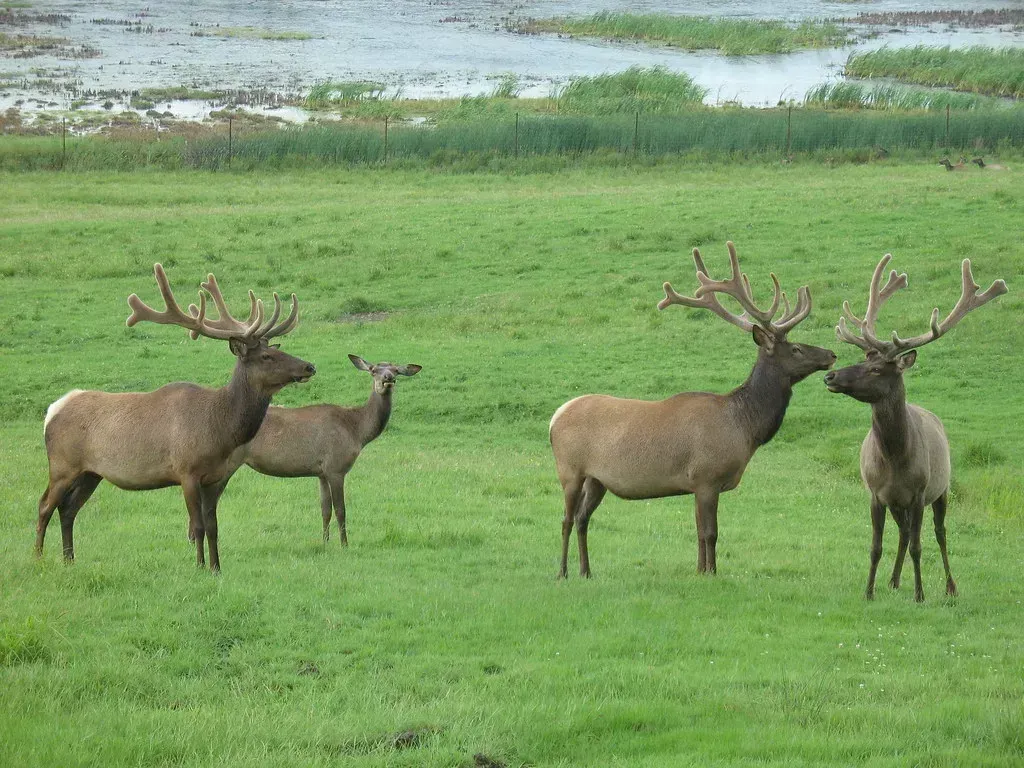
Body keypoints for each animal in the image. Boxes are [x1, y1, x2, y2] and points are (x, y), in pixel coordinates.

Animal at [37, 264, 316, 572]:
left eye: (277, 349)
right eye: (266, 356)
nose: (309, 366)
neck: (220, 429)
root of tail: (53, 410)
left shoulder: (215, 477)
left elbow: (214, 527)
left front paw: (216, 568)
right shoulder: (187, 471)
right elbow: (197, 526)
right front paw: (200, 567)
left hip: (90, 473)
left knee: (68, 509)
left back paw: (69, 559)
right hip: (62, 465)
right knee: (45, 505)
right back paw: (38, 557)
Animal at [201, 354, 421, 545]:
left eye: (396, 370)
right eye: (373, 370)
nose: (388, 379)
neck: (357, 431)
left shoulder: (321, 472)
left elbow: (325, 510)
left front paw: (325, 542)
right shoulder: (336, 466)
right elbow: (340, 509)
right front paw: (344, 544)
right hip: (227, 463)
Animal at [550, 242, 837, 579]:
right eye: (795, 349)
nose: (831, 354)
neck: (745, 428)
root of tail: (555, 417)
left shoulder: (698, 485)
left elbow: (699, 531)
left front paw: (700, 569)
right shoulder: (706, 477)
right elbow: (710, 532)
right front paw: (710, 572)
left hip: (597, 479)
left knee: (583, 518)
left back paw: (586, 571)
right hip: (570, 469)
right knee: (566, 519)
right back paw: (563, 572)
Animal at [824, 254, 1007, 601]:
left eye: (877, 368)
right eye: (863, 358)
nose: (830, 376)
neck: (894, 458)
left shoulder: (920, 493)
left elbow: (920, 547)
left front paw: (920, 595)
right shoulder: (876, 494)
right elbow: (876, 546)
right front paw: (869, 591)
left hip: (943, 489)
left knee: (939, 533)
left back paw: (950, 586)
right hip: (899, 504)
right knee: (904, 533)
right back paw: (894, 580)